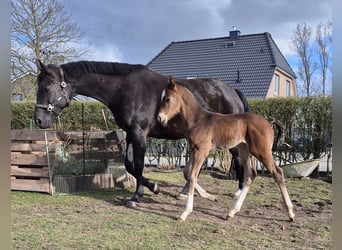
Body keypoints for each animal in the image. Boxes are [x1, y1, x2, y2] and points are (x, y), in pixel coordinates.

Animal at [34, 60, 248, 205]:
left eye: (46, 87)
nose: (38, 120)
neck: (125, 89)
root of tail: (233, 91)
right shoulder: (130, 133)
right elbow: (130, 165)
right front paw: (146, 189)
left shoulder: (139, 133)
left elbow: (138, 165)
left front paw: (142, 193)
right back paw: (185, 193)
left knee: (238, 160)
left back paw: (238, 192)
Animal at [158, 76, 294, 221]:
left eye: (167, 99)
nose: (159, 118)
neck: (198, 120)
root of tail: (268, 121)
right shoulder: (194, 150)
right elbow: (188, 173)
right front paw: (208, 196)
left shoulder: (202, 151)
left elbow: (193, 176)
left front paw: (185, 212)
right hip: (245, 150)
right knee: (251, 174)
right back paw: (232, 211)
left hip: (261, 151)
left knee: (278, 173)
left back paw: (291, 213)